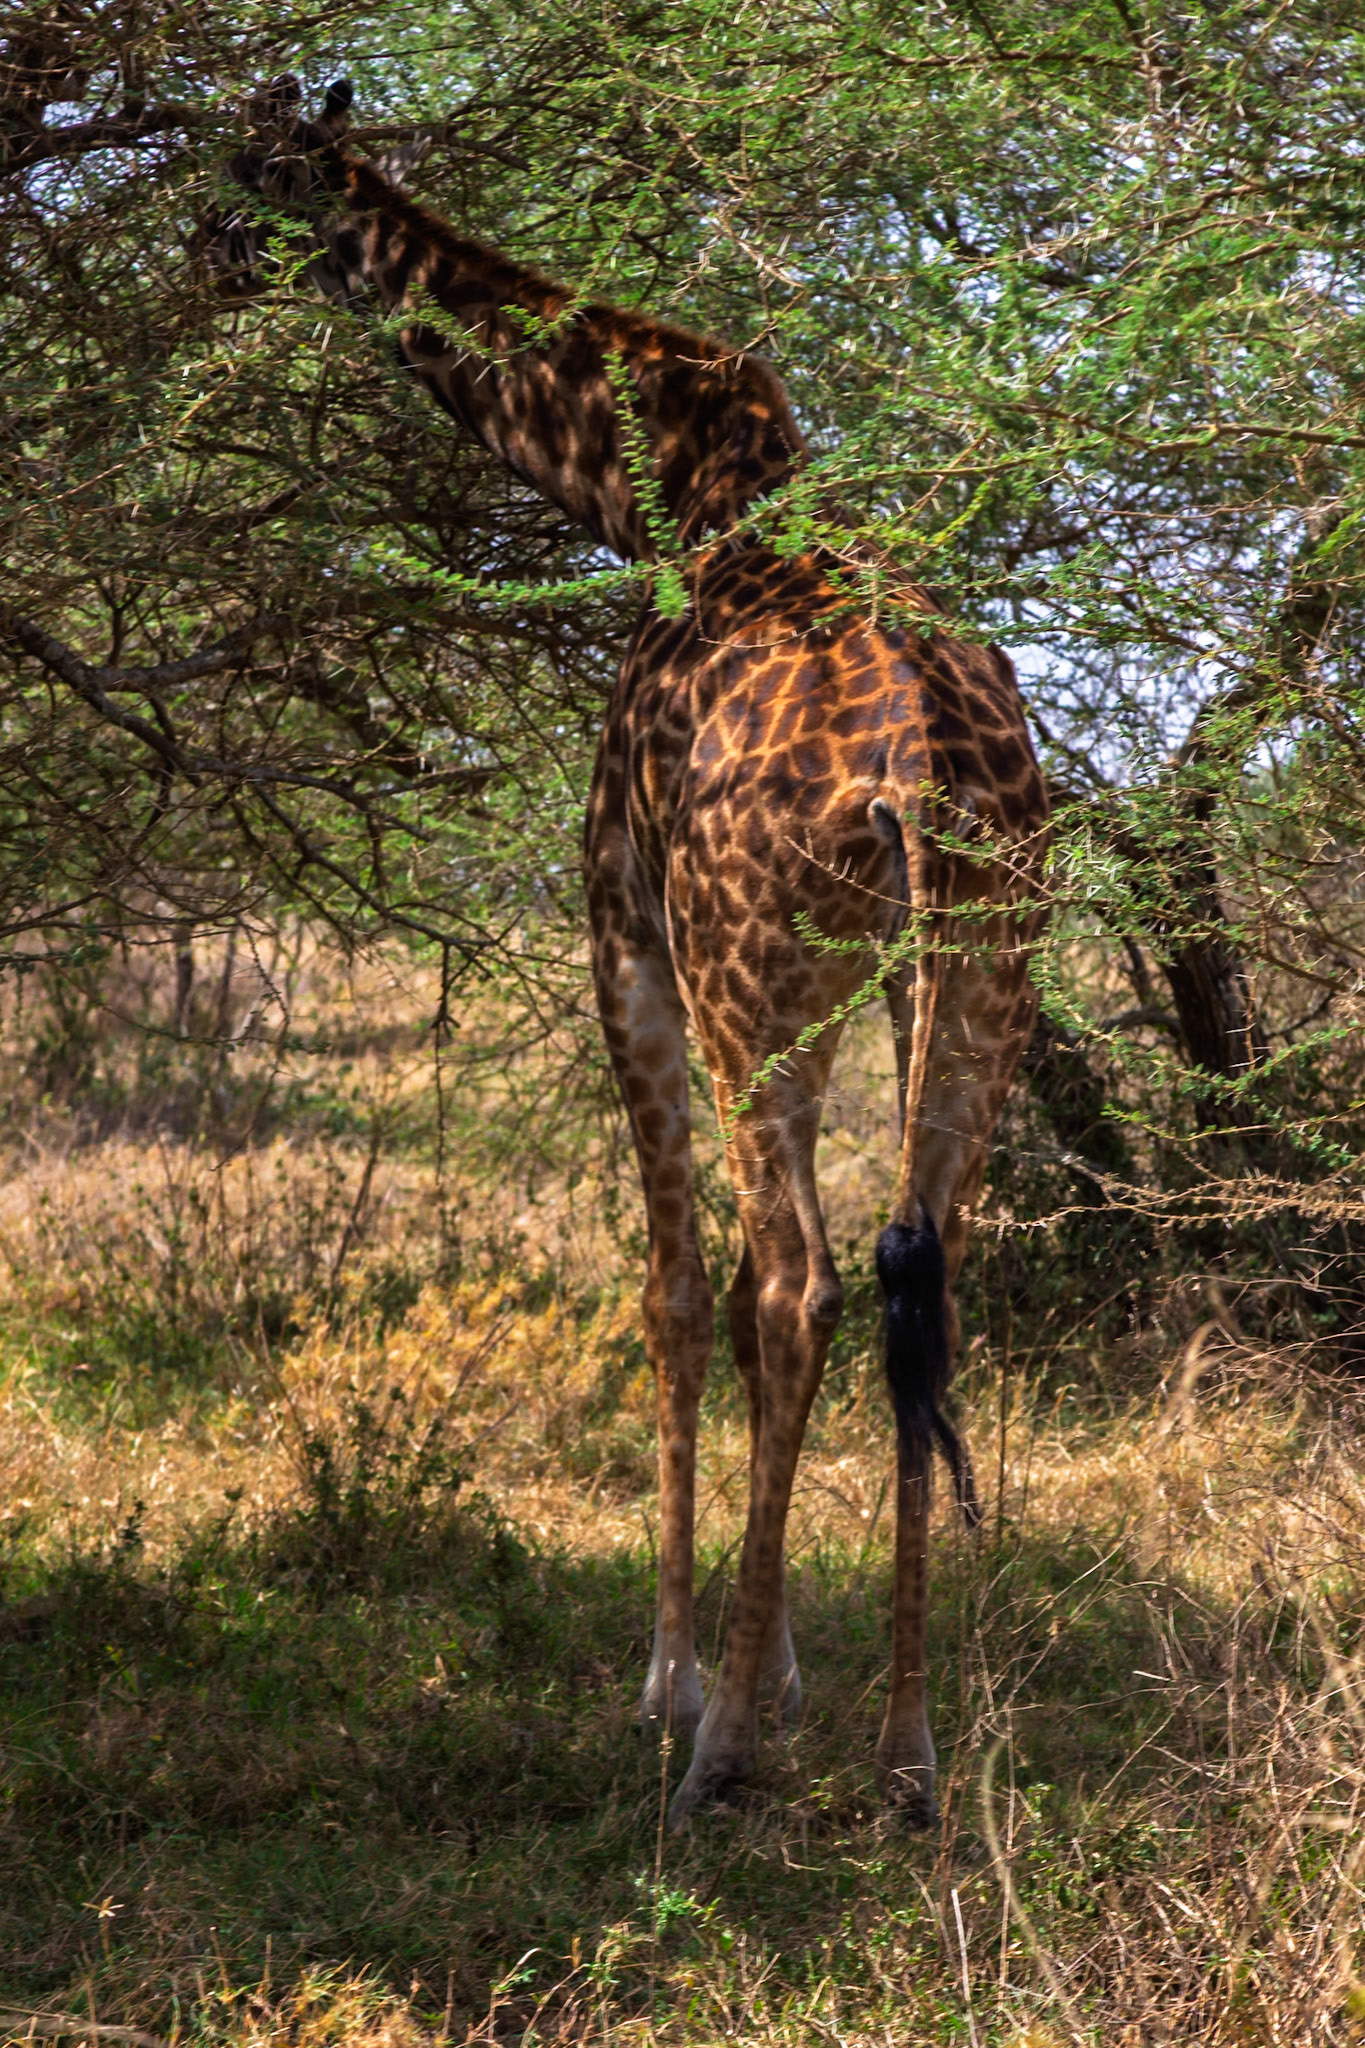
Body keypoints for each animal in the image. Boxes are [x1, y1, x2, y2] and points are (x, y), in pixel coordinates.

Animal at [214, 76, 1051, 1826]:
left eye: (251, 173)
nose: (204, 248)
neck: (655, 483)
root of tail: (924, 775)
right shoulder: (800, 991)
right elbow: (730, 1297)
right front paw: (777, 1665)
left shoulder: (627, 945)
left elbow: (676, 1293)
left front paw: (681, 1679)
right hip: (980, 973)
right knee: (921, 1284)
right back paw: (909, 1756)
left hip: (747, 978)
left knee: (802, 1285)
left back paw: (718, 1758)